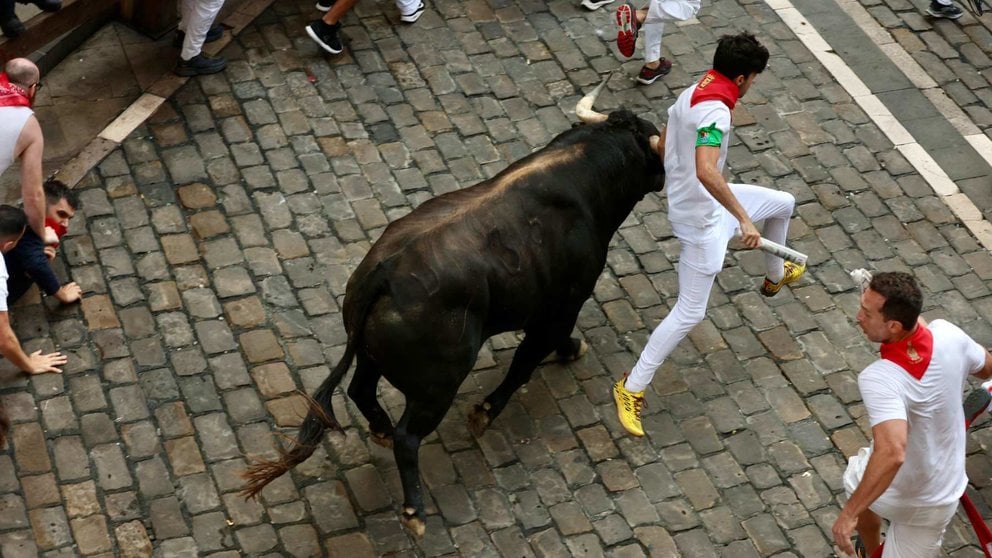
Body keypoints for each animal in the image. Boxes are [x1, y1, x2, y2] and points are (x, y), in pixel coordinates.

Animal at [242, 96, 668, 540]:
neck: (585, 172)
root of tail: (384, 271)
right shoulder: (562, 305)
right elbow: (526, 361)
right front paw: (487, 410)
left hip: (373, 356)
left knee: (361, 390)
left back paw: (380, 430)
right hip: (439, 384)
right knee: (408, 437)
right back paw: (414, 510)